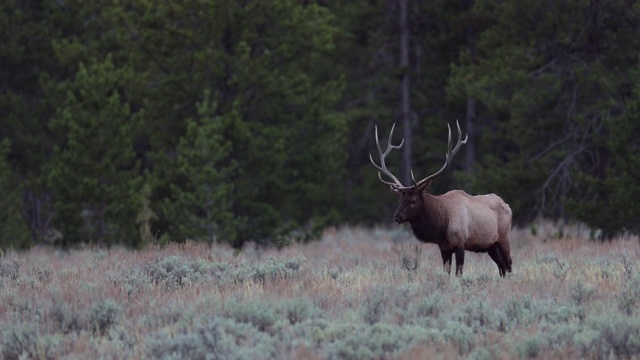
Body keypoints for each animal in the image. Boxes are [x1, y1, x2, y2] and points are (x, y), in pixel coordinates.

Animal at [370, 122, 510, 278]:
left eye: (413, 200)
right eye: (400, 200)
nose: (397, 217)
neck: (442, 225)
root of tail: (507, 205)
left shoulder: (461, 242)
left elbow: (458, 272)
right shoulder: (444, 247)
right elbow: (446, 271)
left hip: (504, 238)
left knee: (508, 264)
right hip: (490, 246)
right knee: (501, 267)